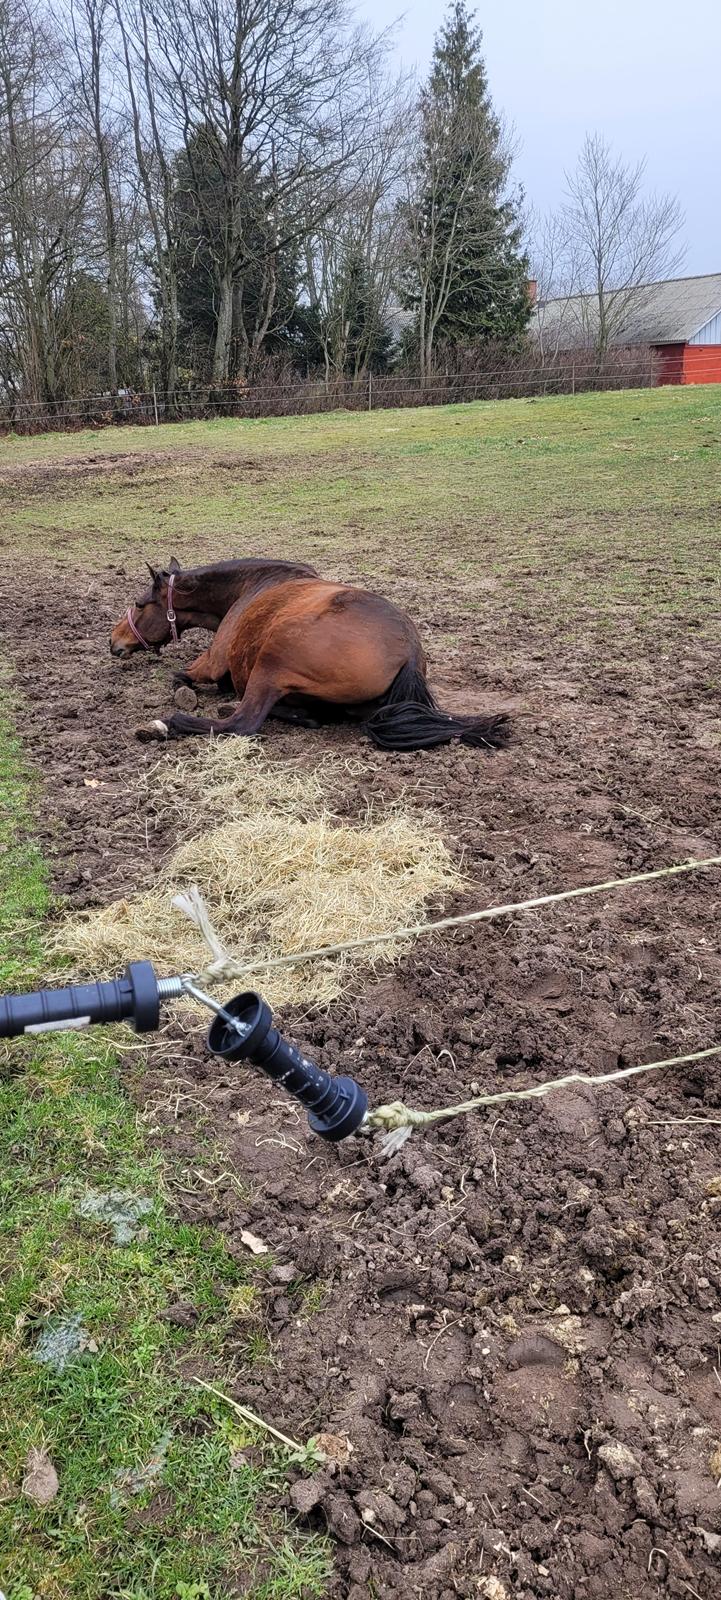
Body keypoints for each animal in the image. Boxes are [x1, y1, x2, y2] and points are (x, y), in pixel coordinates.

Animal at [110, 553, 511, 752]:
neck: (251, 586)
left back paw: (169, 724)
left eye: (140, 604)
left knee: (242, 723)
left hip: (272, 661)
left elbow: (181, 677)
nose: (114, 642)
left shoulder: (210, 664)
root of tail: (409, 651)